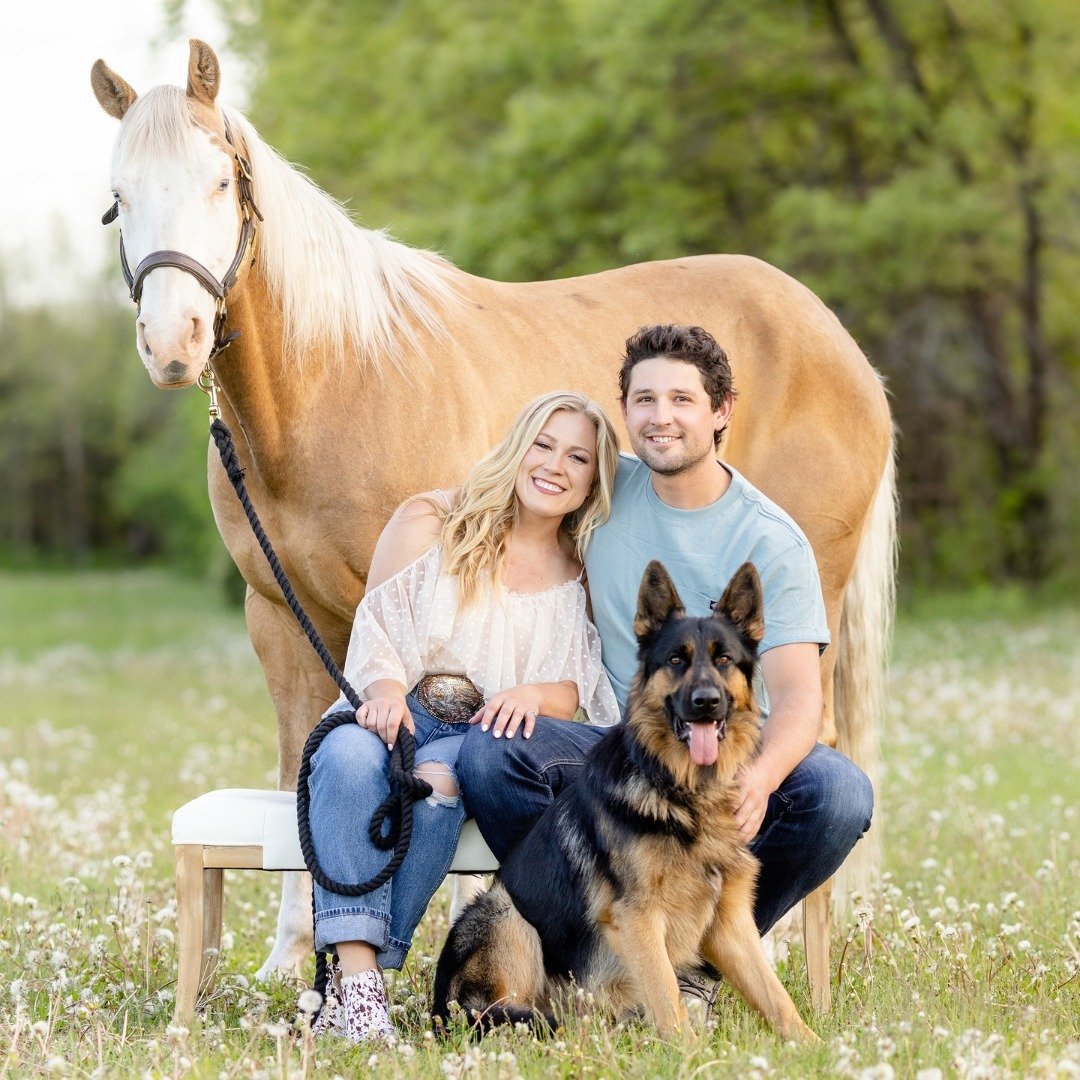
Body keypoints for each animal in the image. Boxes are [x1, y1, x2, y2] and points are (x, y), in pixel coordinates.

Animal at [434, 561, 812, 1041]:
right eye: (676, 660)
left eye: (724, 659)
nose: (706, 702)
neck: (682, 792)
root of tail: (439, 1006)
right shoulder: (639, 919)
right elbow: (668, 1000)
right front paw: (688, 1051)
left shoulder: (730, 924)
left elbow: (777, 999)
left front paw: (810, 1045)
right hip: (507, 914)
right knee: (503, 1011)